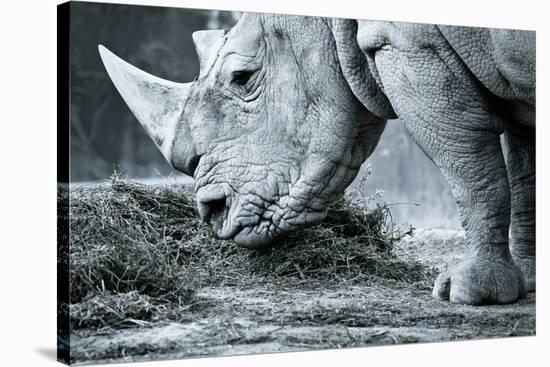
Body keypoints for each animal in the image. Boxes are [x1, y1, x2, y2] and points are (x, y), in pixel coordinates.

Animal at [98, 13, 536, 308]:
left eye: (241, 77)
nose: (213, 212)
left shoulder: (408, 46)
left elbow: (470, 167)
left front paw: (468, 293)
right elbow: (524, 172)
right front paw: (528, 283)